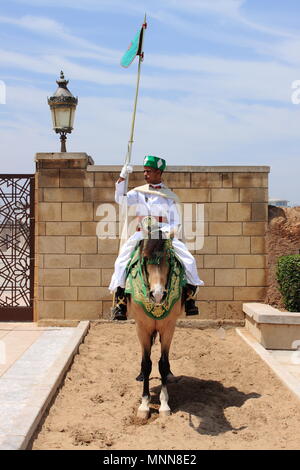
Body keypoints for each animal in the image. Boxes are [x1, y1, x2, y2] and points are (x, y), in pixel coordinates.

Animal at [123, 217, 185, 418]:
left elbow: (162, 364)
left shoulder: (168, 326)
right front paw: (144, 405)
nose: (157, 294)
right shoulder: (142, 327)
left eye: (169, 258)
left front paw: (164, 404)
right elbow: (147, 363)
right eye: (144, 259)